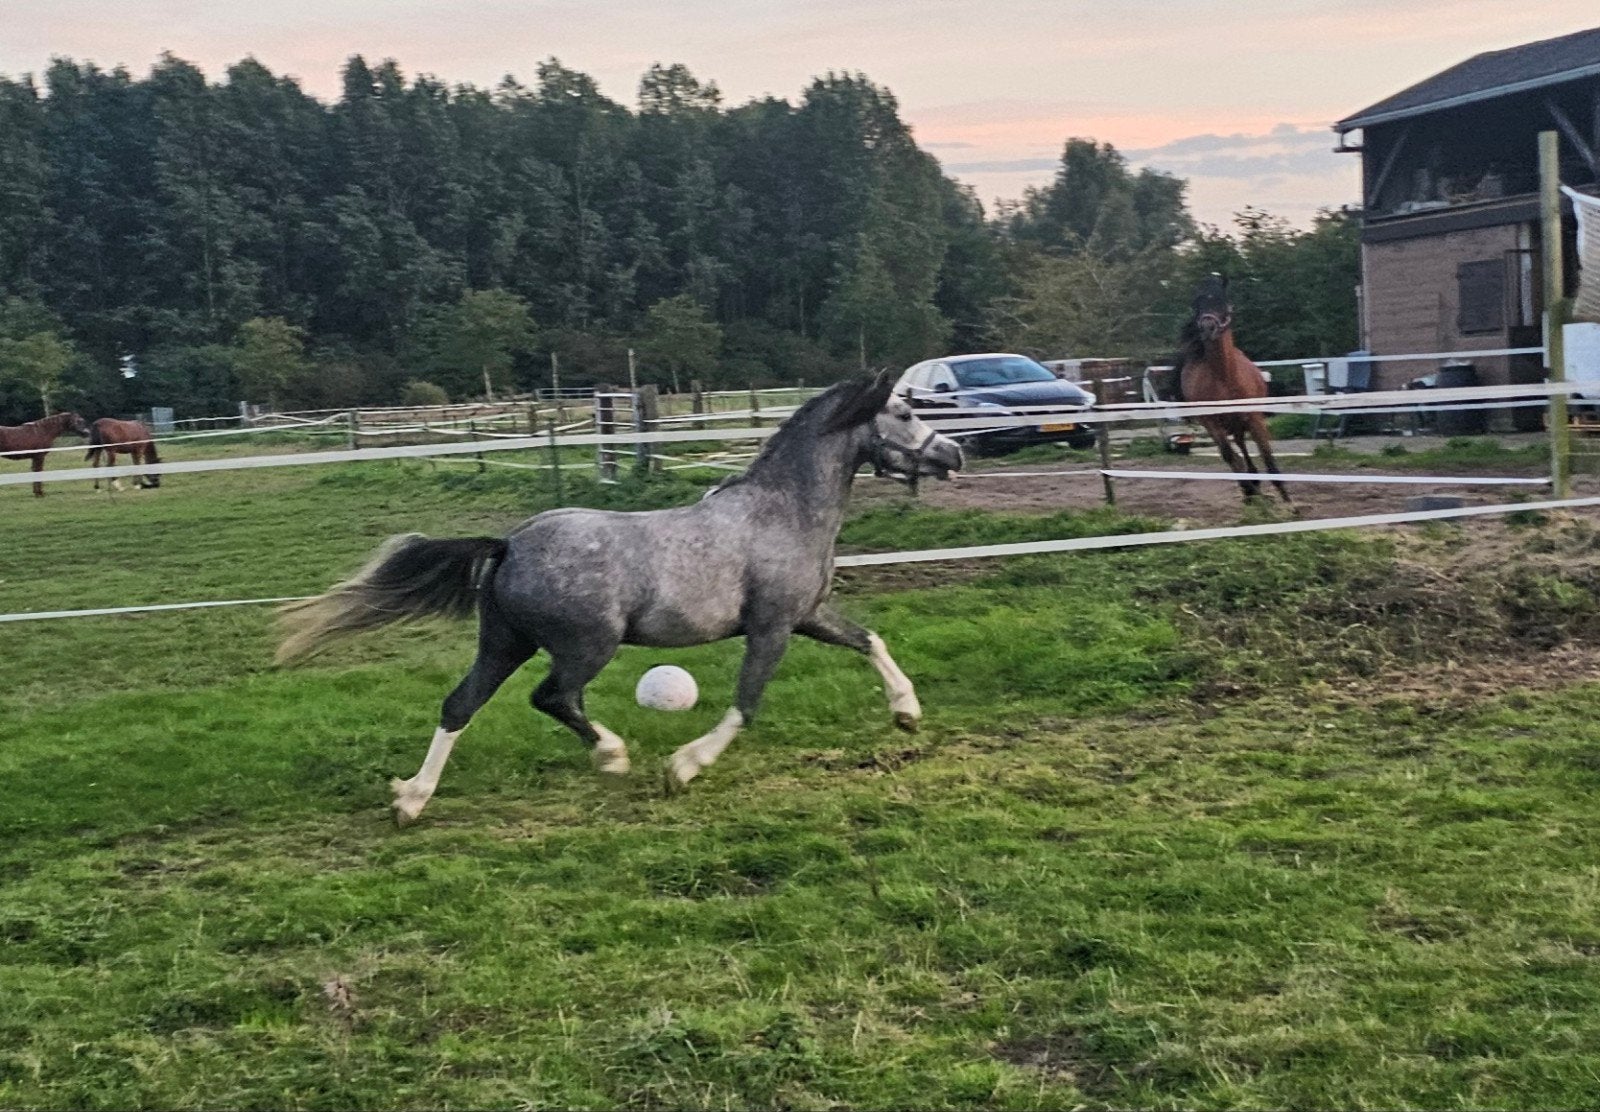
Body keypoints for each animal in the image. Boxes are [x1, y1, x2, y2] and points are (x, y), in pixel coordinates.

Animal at [278, 372, 965, 825]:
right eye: (904, 414)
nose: (955, 452)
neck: (784, 512)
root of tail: (510, 544)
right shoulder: (771, 627)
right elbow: (746, 705)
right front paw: (683, 767)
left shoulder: (807, 617)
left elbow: (869, 639)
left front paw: (907, 711)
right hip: (588, 645)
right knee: (553, 697)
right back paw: (612, 755)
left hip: (503, 643)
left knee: (459, 705)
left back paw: (412, 800)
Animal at [1176, 275, 1293, 505]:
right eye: (1197, 304)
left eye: (1223, 303)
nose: (1208, 327)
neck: (1225, 378)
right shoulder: (1212, 422)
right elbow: (1231, 457)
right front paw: (1254, 494)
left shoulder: (1255, 418)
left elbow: (1268, 458)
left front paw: (1290, 505)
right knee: (1233, 454)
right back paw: (1251, 488)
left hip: (1239, 422)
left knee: (1241, 444)